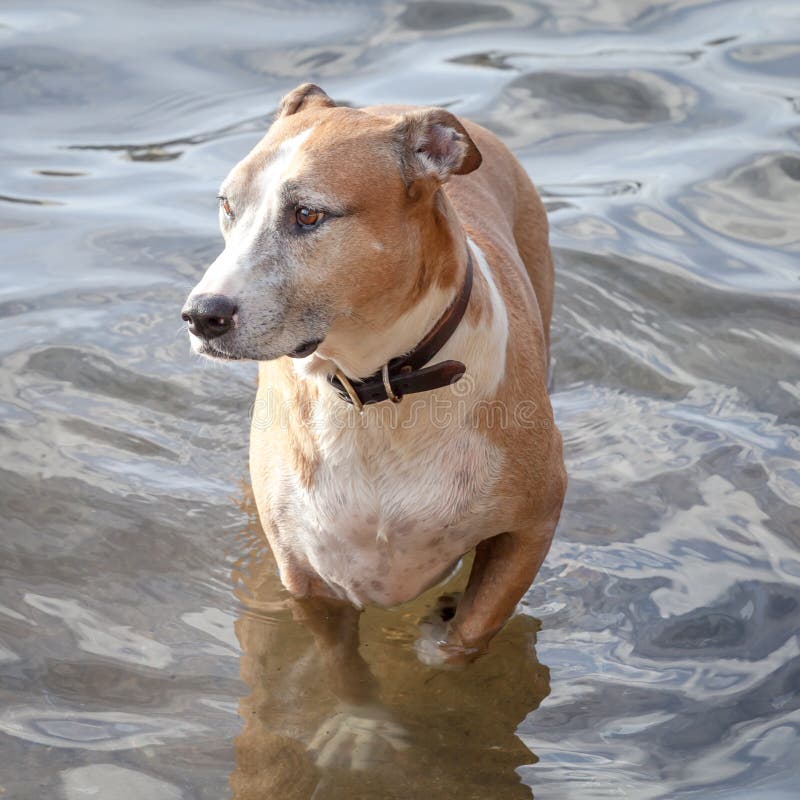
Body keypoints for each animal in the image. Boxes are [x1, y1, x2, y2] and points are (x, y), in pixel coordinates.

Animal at [184, 84, 564, 664]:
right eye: (228, 205)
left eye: (308, 215)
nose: (202, 314)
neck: (379, 389)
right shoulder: (309, 577)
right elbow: (340, 667)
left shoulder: (533, 524)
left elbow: (467, 635)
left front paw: (436, 641)